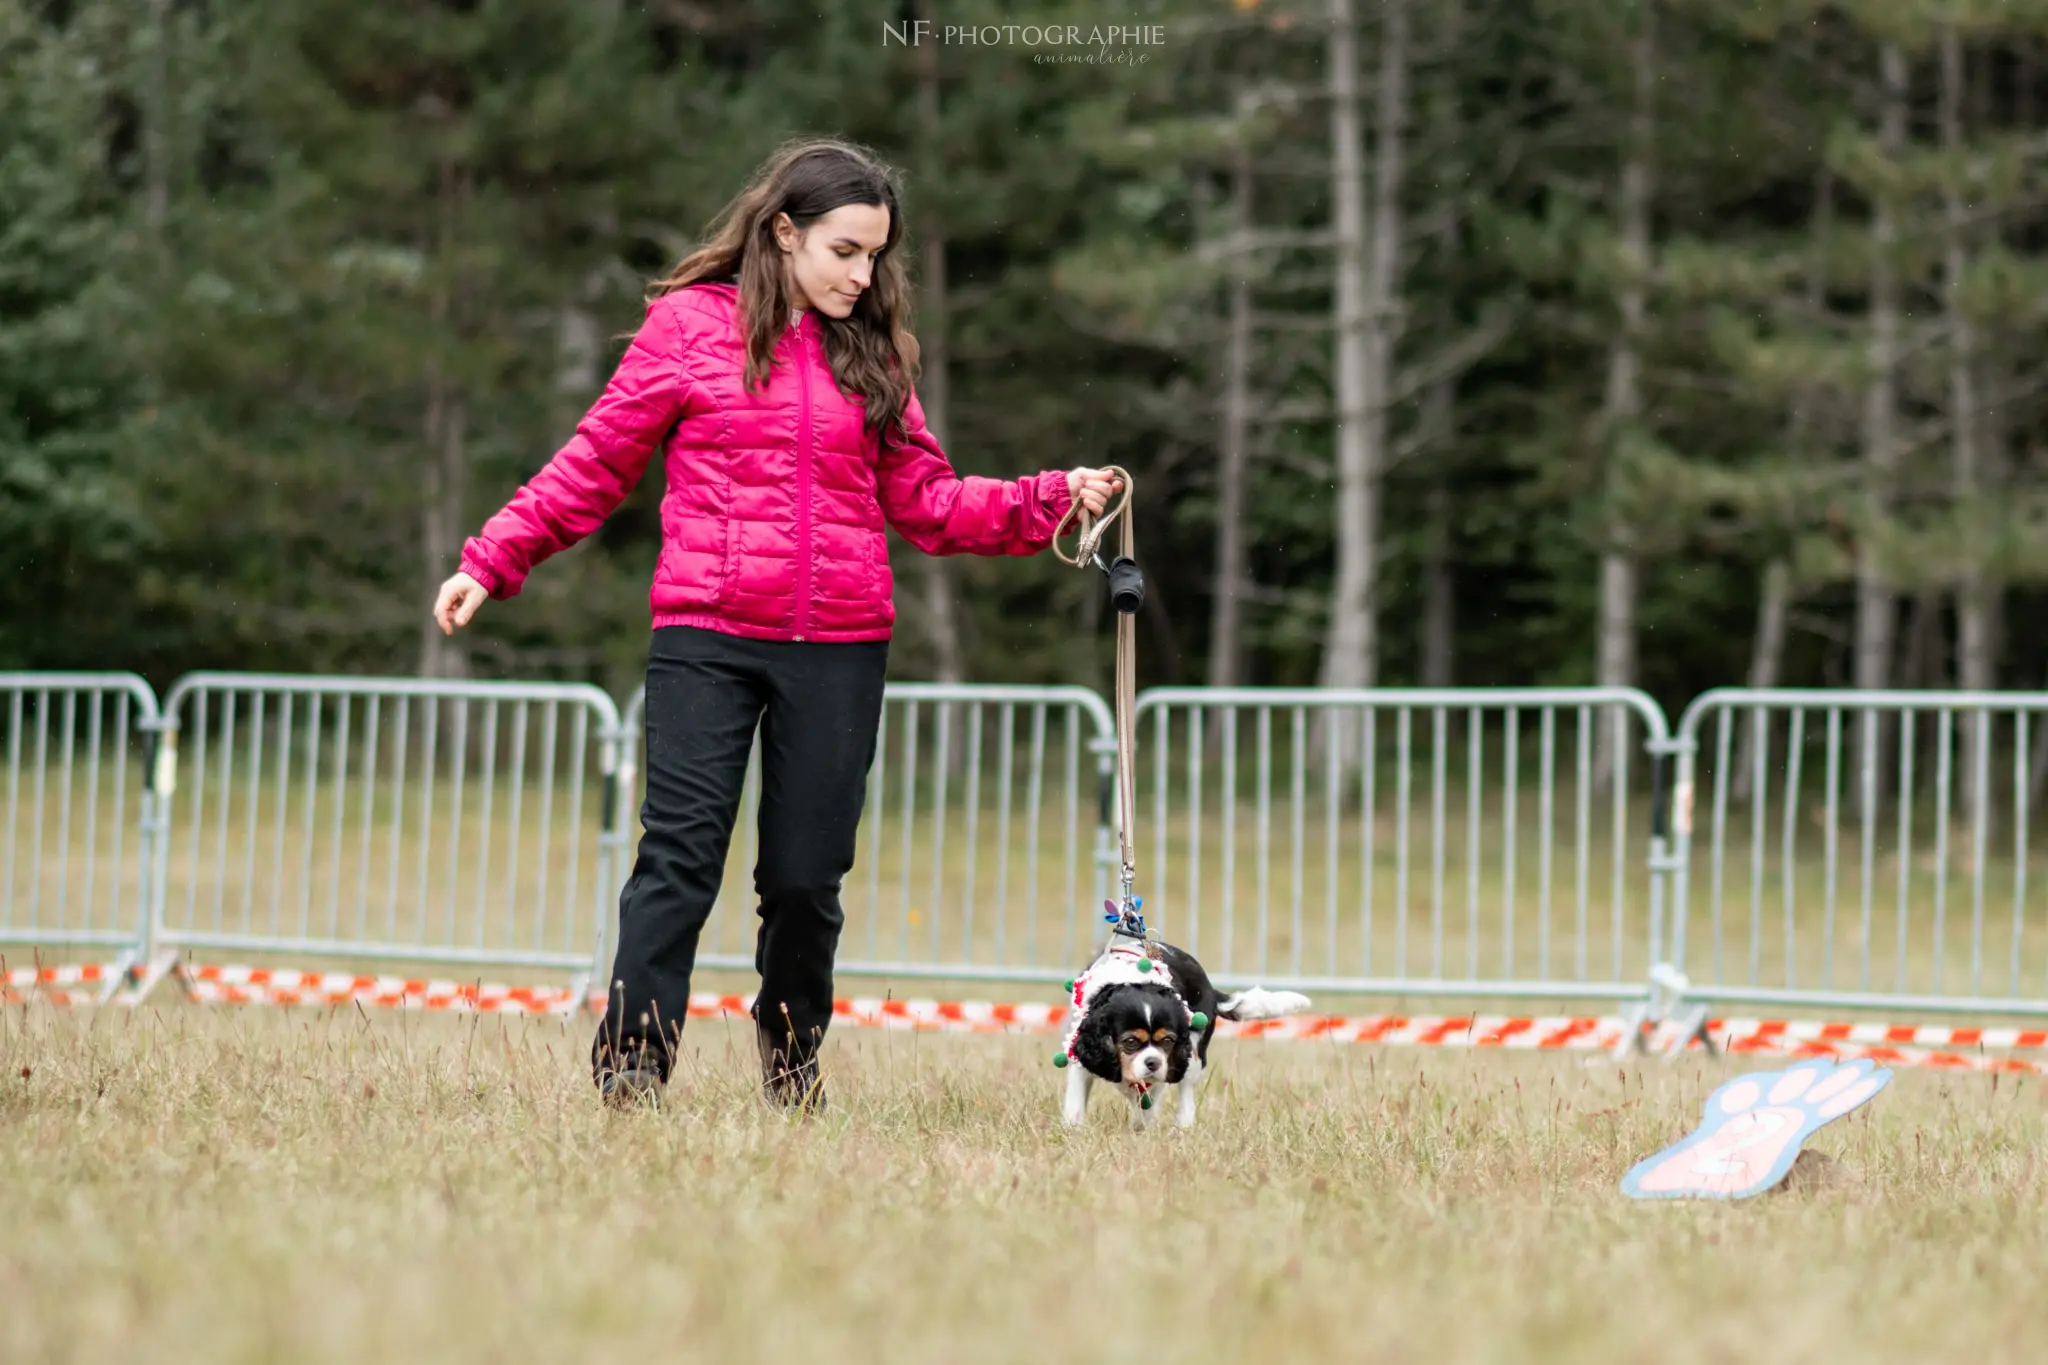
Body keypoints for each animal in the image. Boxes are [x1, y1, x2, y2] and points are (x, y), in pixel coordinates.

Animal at [1064, 941, 1302, 1129]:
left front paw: (1140, 1128)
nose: (1153, 1063)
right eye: (1130, 1041)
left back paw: (1182, 1128)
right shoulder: (1081, 1053)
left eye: (1168, 1041)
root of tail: (1210, 989)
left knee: (1186, 1091)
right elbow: (1076, 1098)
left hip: (1194, 1055)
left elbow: (1148, 1103)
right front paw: (1073, 1128)